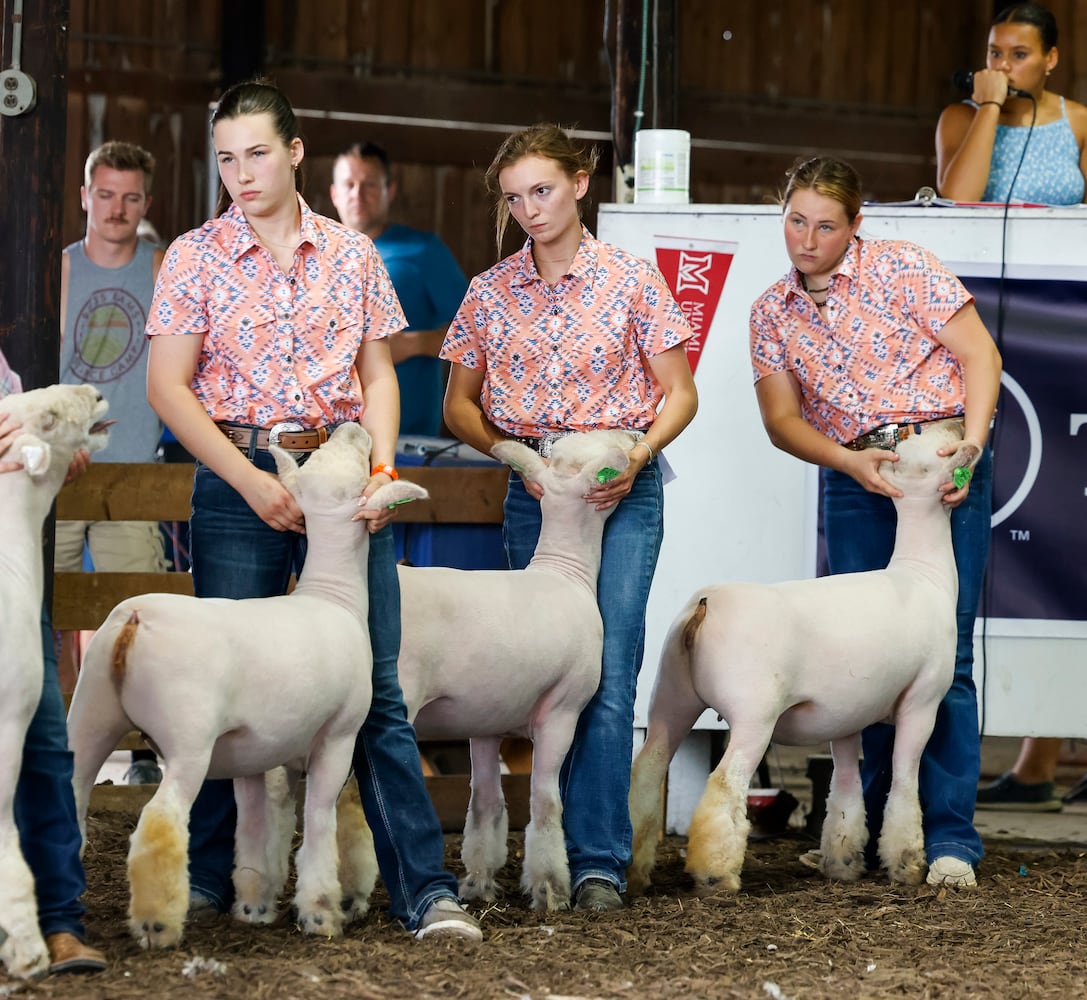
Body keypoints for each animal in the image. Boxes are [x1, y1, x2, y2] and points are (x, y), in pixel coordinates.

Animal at [62, 421, 419, 943]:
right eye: (353, 470)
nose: (354, 424)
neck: (333, 594)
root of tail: (135, 619)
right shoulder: (338, 738)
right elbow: (318, 821)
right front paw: (319, 912)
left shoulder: (254, 755)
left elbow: (253, 830)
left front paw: (253, 906)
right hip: (187, 739)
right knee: (160, 818)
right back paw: (156, 922)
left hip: (90, 715)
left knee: (68, 797)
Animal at [397, 426, 634, 908]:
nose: (631, 434)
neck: (565, 571)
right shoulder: (562, 712)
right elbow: (545, 802)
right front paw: (551, 887)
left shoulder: (483, 720)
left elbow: (485, 803)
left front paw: (478, 882)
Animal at [626, 421, 965, 900]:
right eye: (923, 456)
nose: (958, 427)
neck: (923, 574)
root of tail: (705, 607)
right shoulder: (924, 699)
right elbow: (904, 780)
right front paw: (906, 864)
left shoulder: (845, 715)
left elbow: (845, 787)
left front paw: (842, 862)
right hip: (754, 713)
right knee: (725, 784)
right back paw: (716, 876)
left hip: (670, 697)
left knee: (646, 773)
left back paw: (635, 871)